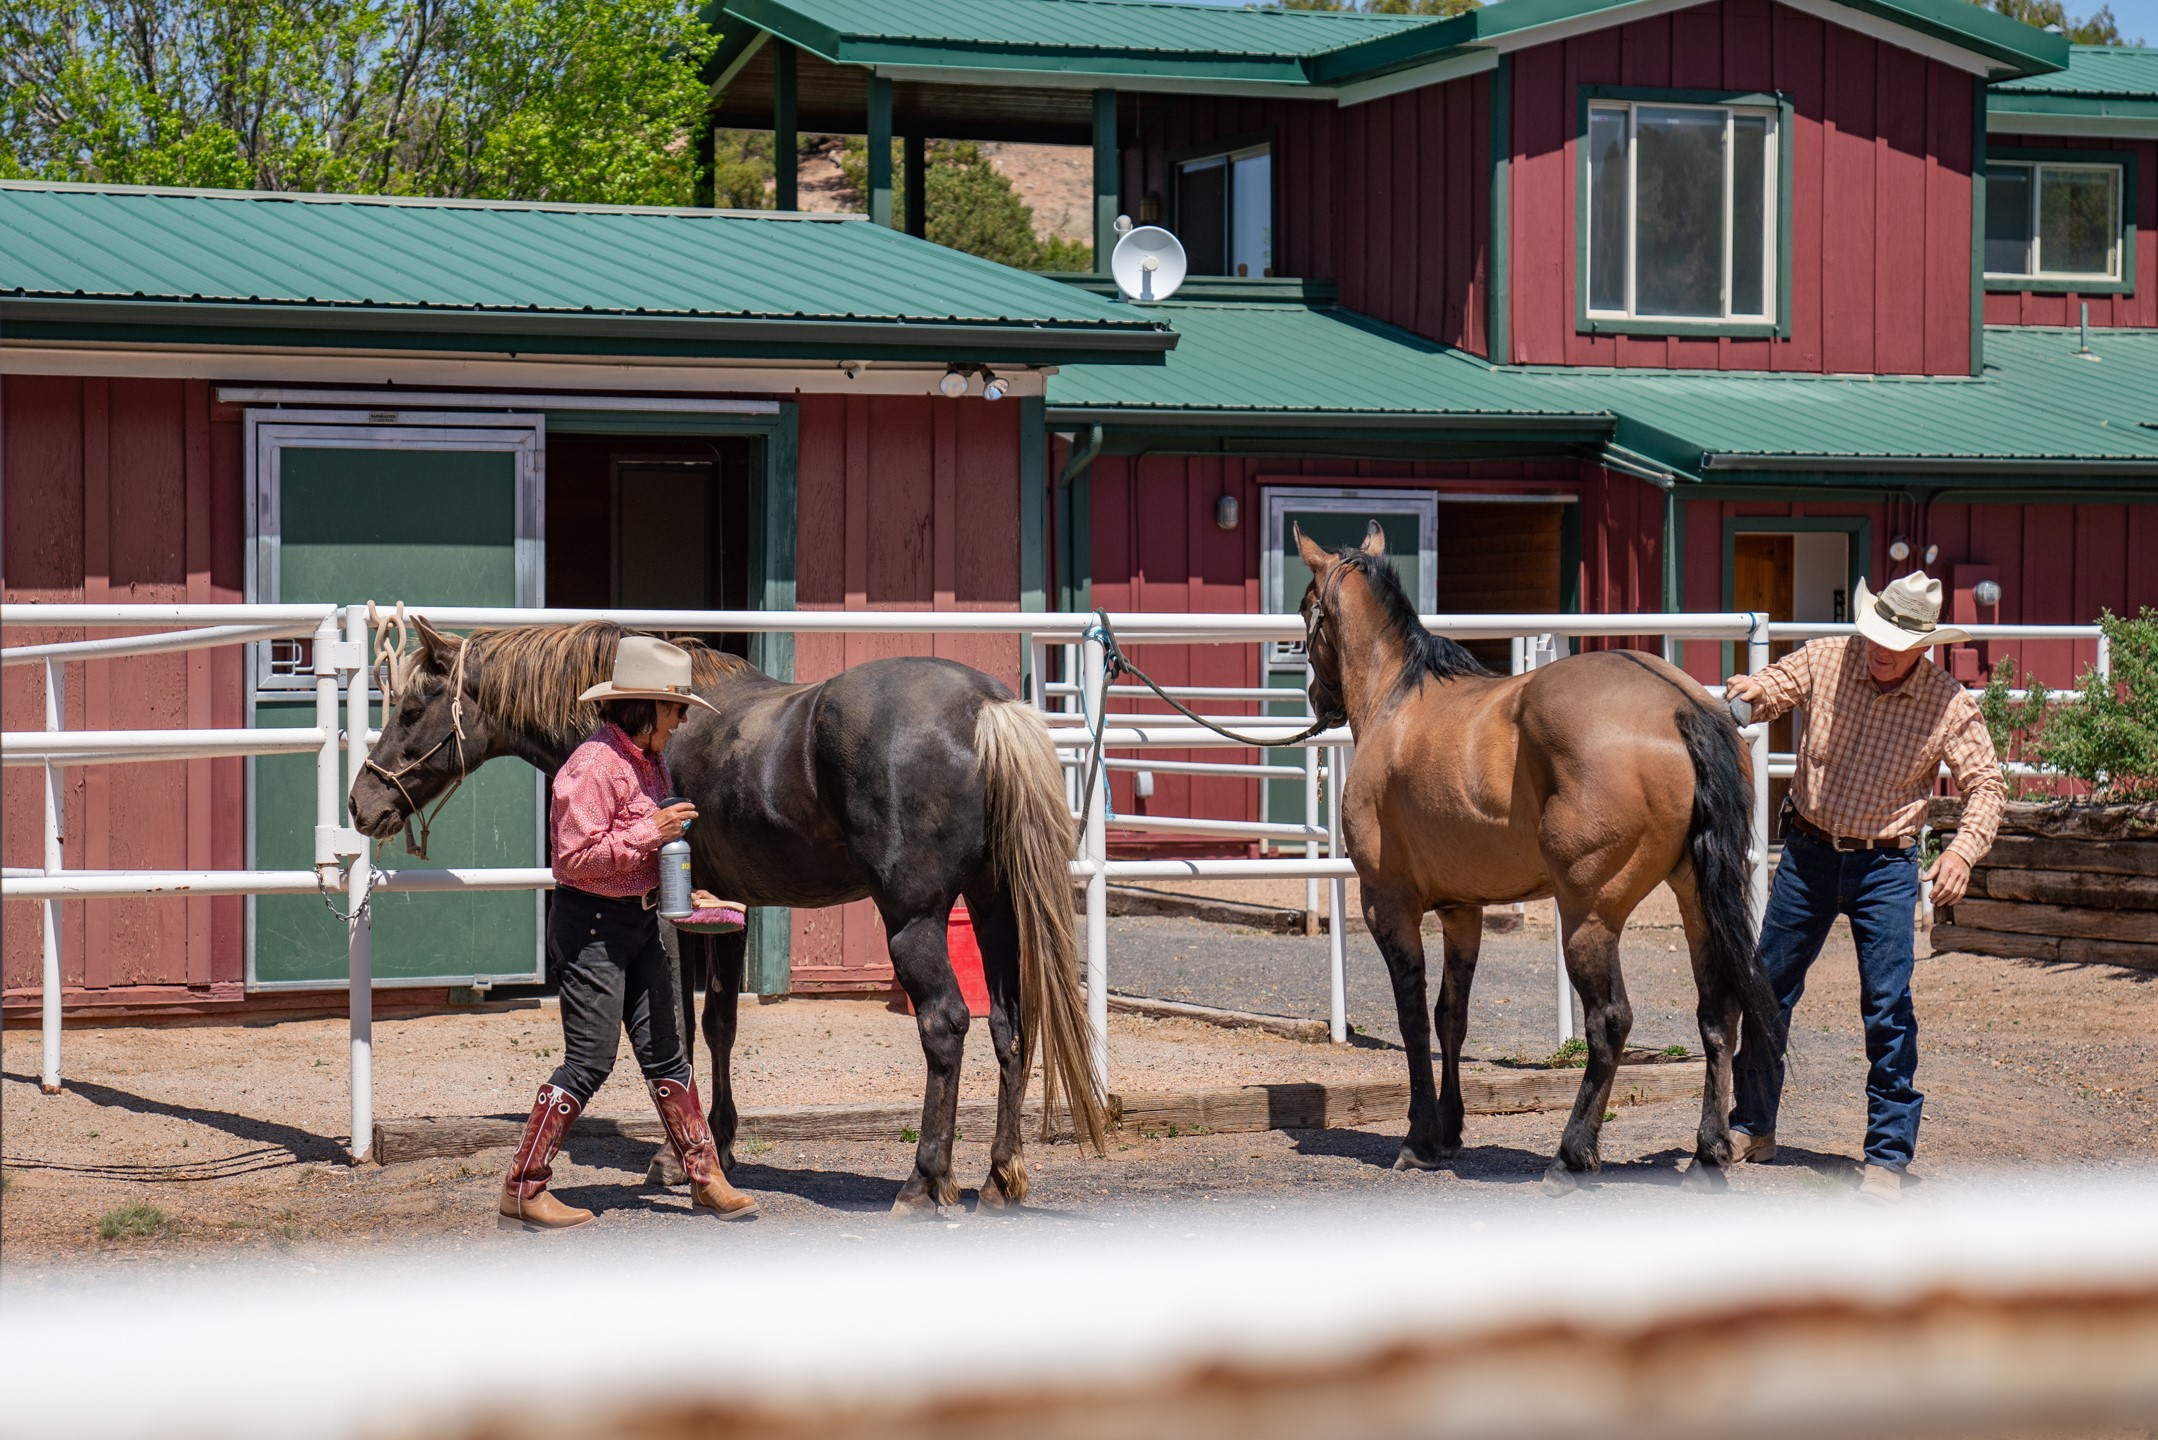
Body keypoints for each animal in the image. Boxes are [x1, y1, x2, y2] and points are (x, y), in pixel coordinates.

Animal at [349, 621, 1113, 1217]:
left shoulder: (671, 915)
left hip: (915, 919)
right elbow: (719, 1024)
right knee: (1011, 1025)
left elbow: (677, 1028)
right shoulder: (729, 908)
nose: (362, 804)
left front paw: (672, 1158)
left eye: (413, 706)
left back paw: (924, 1183)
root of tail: (985, 708)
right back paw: (1000, 1177)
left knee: (946, 1024)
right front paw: (719, 1142)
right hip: (994, 906)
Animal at [1294, 526, 1769, 1191]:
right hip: (1697, 900)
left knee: (1610, 1021)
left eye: (1306, 606)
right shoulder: (1462, 911)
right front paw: (1450, 1132)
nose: (1319, 698)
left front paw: (1419, 1139)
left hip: (1589, 914)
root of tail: (1682, 708)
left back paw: (1571, 1155)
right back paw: (1707, 1153)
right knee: (1718, 1011)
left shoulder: (1388, 904)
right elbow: (1451, 1016)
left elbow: (1413, 1017)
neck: (1399, 700)